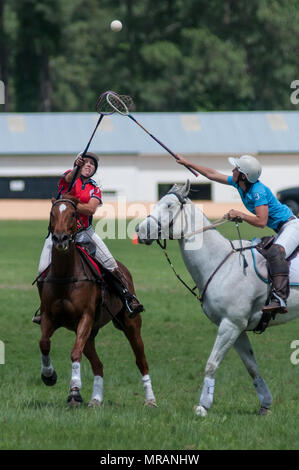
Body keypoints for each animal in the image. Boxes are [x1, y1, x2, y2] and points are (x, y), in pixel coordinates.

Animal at [37, 196, 157, 406]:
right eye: (52, 213)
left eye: (73, 214)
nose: (60, 239)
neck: (66, 275)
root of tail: (123, 268)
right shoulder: (49, 317)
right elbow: (44, 343)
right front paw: (49, 376)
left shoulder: (85, 317)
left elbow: (74, 352)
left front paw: (74, 393)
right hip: (91, 334)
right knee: (98, 365)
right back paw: (96, 400)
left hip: (131, 324)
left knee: (141, 361)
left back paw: (150, 400)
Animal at [137, 182, 299, 416]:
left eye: (168, 205)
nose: (139, 230)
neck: (221, 263)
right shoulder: (237, 328)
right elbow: (252, 367)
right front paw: (265, 403)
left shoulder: (231, 324)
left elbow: (211, 363)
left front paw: (202, 406)